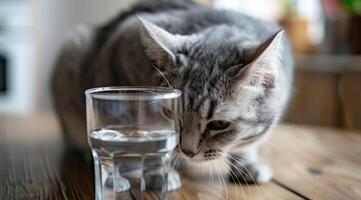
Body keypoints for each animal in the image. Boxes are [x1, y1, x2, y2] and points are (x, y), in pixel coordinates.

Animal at [51, 0, 292, 189]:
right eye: (169, 113)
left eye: (220, 124)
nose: (187, 151)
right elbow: (145, 135)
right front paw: (157, 174)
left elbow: (249, 141)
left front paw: (247, 163)